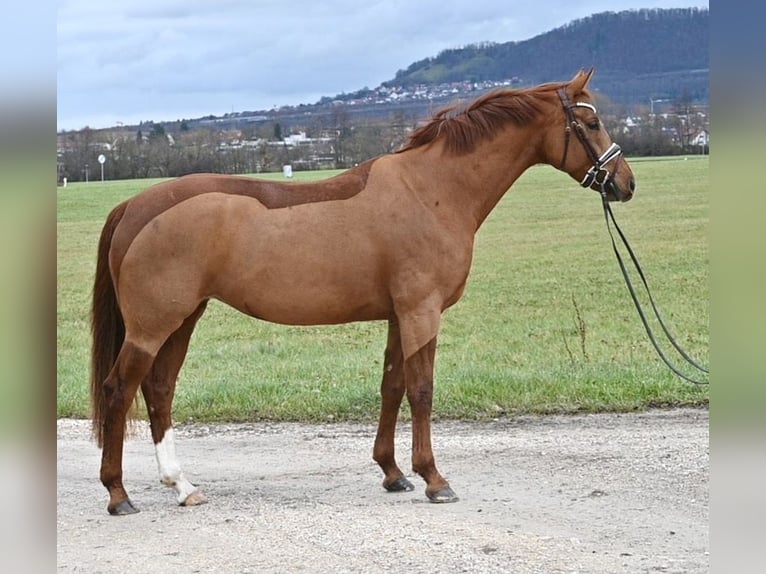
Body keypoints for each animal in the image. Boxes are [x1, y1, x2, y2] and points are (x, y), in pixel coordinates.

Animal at [90, 70, 636, 516]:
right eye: (590, 123)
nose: (625, 183)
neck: (431, 190)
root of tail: (133, 206)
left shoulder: (399, 315)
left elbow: (392, 386)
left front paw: (393, 473)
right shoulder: (421, 312)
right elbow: (421, 389)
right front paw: (434, 479)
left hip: (183, 319)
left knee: (159, 390)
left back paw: (182, 485)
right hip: (153, 325)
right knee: (119, 390)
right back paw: (118, 494)